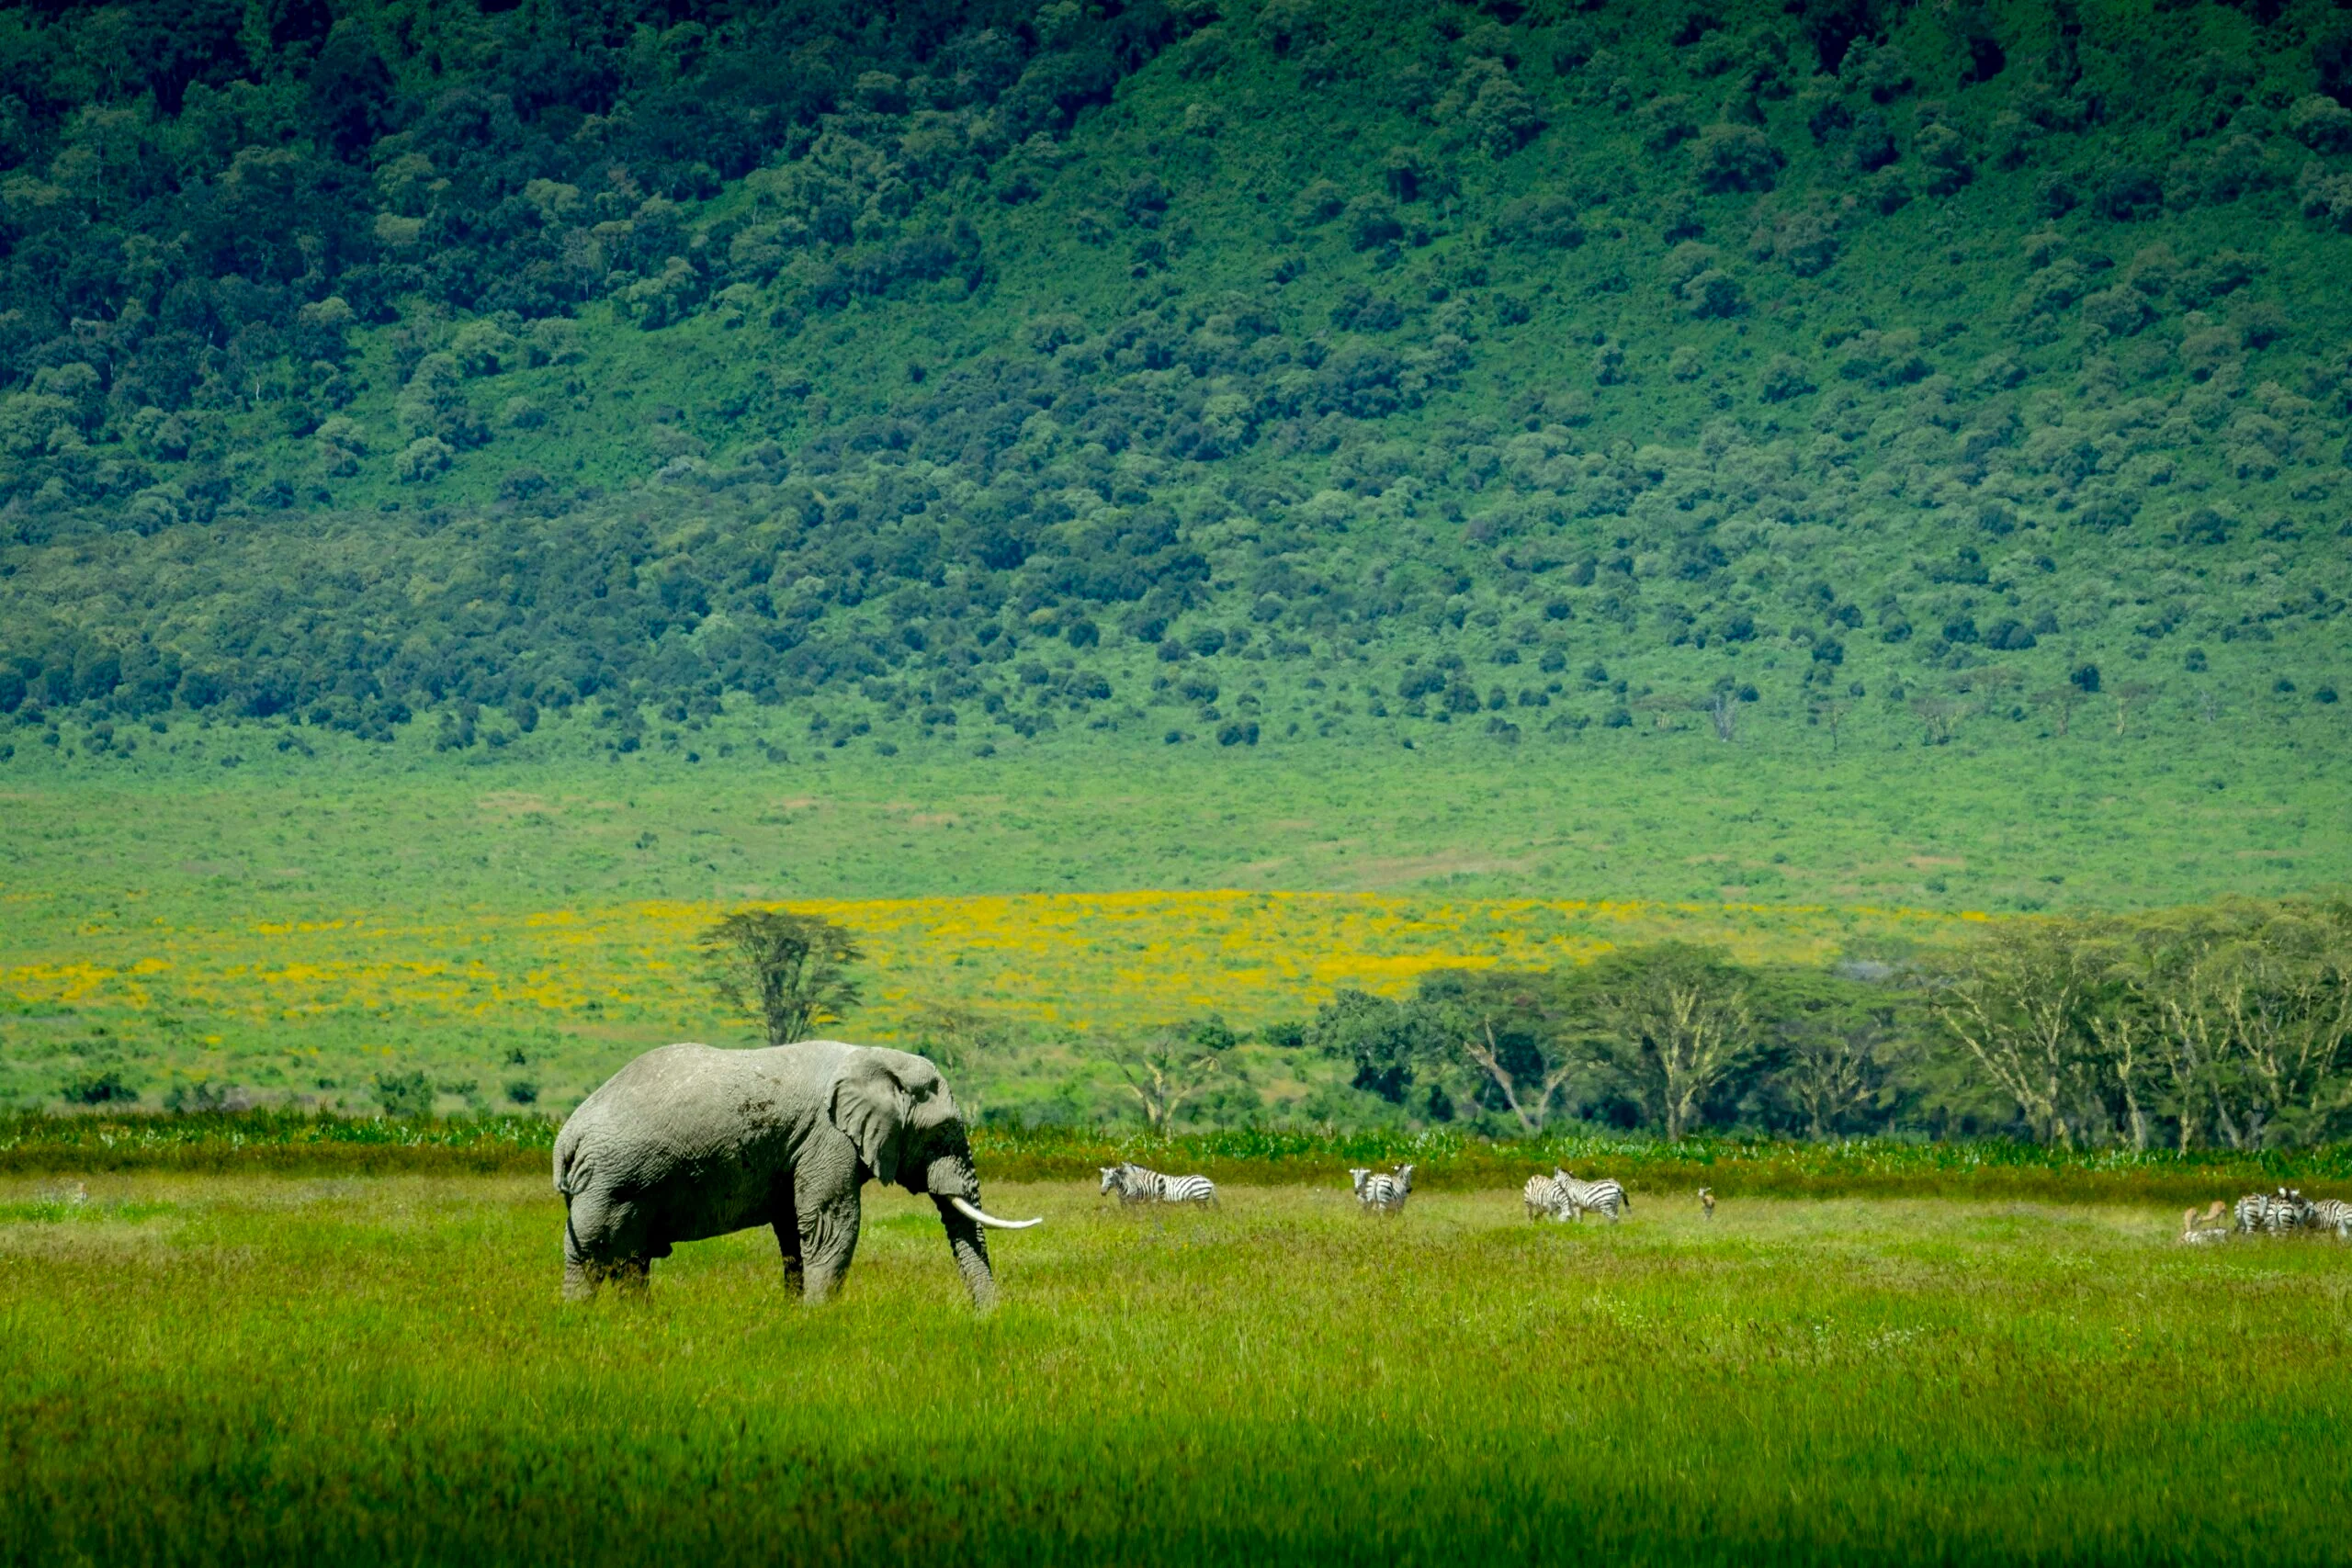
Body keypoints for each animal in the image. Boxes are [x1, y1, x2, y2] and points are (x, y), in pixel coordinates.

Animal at [553, 1040, 1038, 1307]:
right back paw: (579, 1318)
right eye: (941, 1134)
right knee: (592, 1255)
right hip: (611, 1181)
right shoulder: (828, 1136)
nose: (987, 1318)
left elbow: (794, 1230)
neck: (872, 1057)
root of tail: (566, 1137)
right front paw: (818, 1317)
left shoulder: (801, 1149)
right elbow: (831, 1223)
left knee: (629, 1262)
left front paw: (794, 1313)